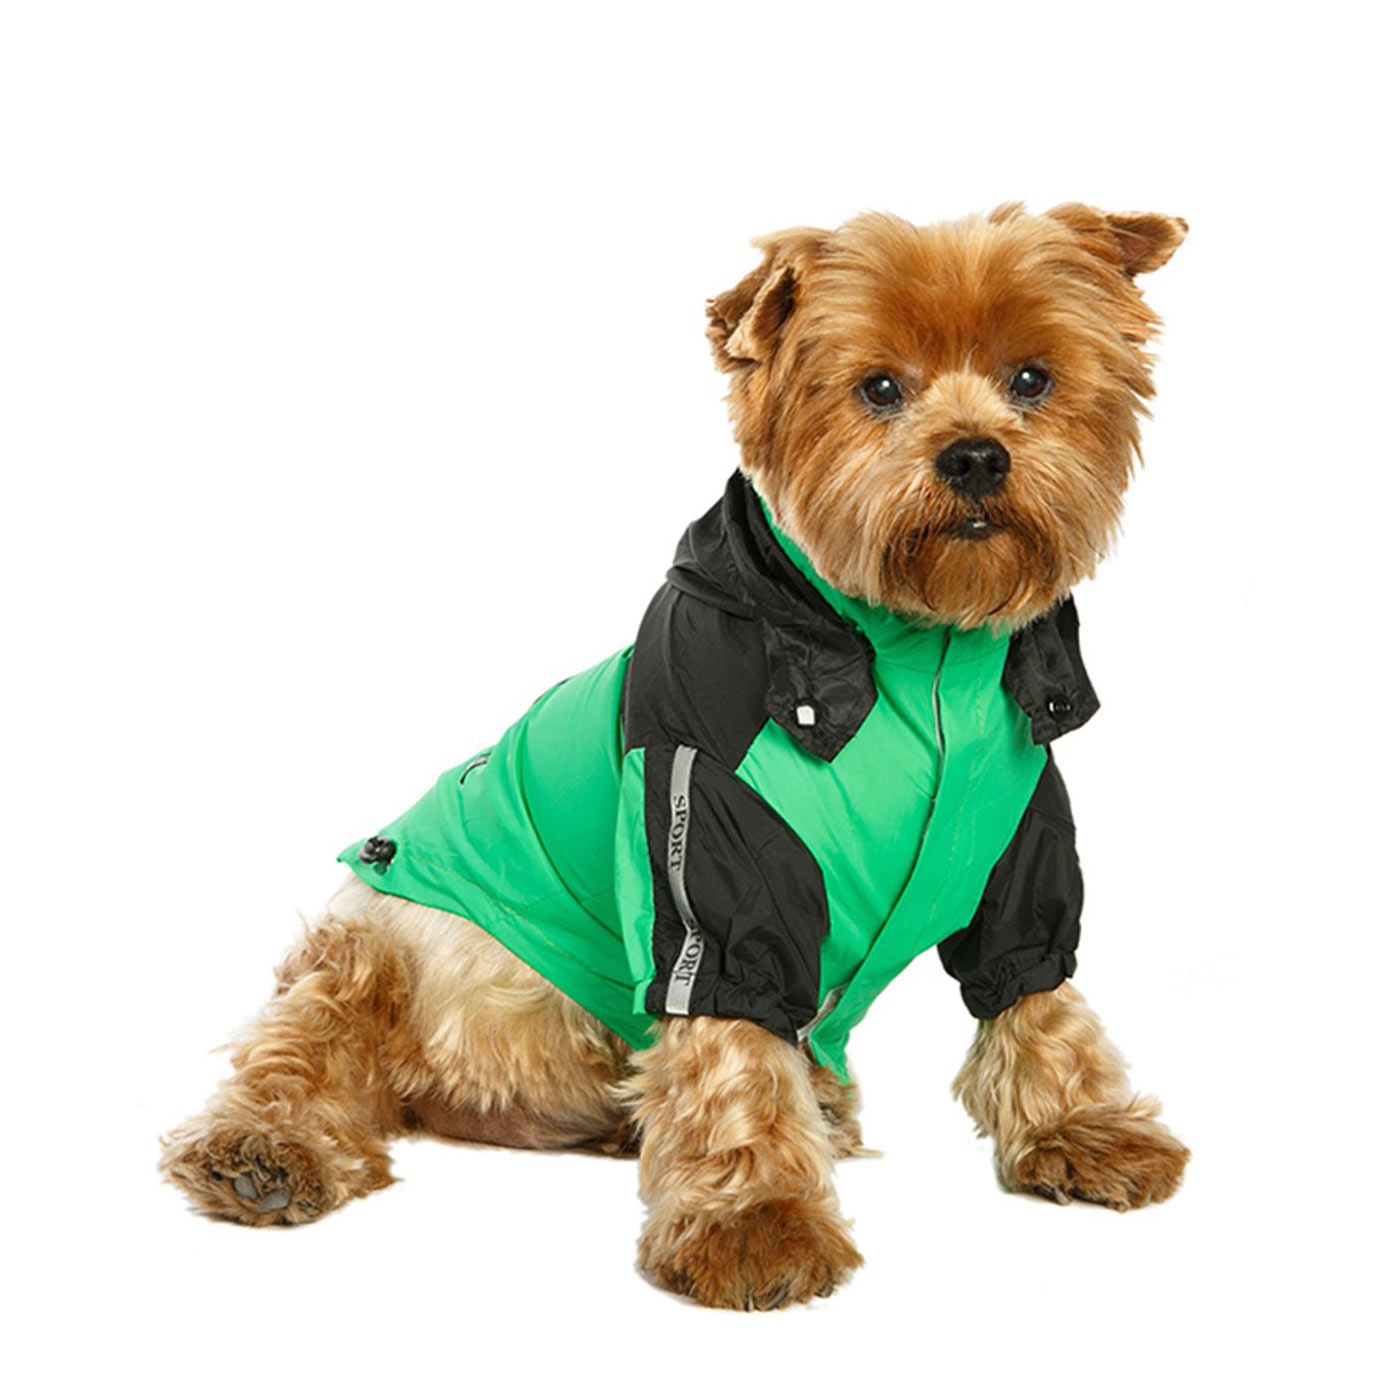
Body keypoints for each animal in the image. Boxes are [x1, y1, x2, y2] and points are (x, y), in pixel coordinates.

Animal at [162, 202, 1190, 1309]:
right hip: (377, 936)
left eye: (1032, 378)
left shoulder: (1019, 844)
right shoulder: (708, 841)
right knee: (312, 1039)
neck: (923, 656)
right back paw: (265, 1153)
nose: (973, 457)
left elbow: (1035, 989)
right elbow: (730, 1035)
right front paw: (756, 1219)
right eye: (878, 387)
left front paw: (1080, 1126)